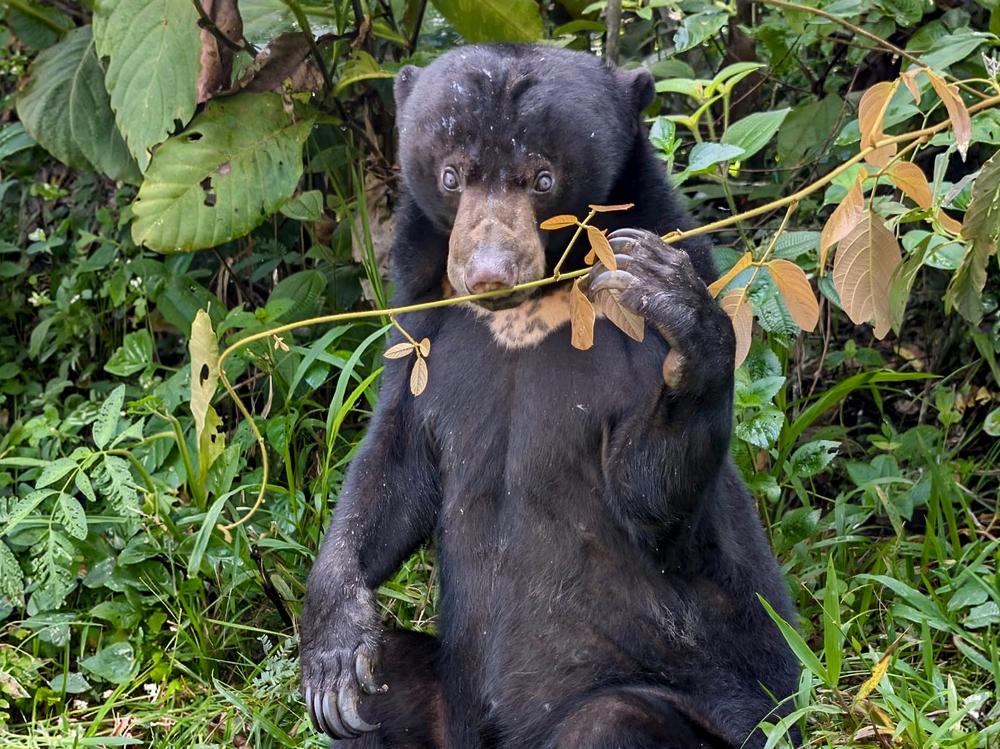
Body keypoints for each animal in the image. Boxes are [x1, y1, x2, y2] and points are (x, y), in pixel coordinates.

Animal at [300, 44, 801, 749]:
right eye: (453, 175)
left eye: (541, 179)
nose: (488, 271)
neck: (530, 312)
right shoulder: (422, 330)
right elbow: (393, 467)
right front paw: (334, 654)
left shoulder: (632, 336)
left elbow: (651, 496)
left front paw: (673, 301)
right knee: (386, 686)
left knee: (611, 718)